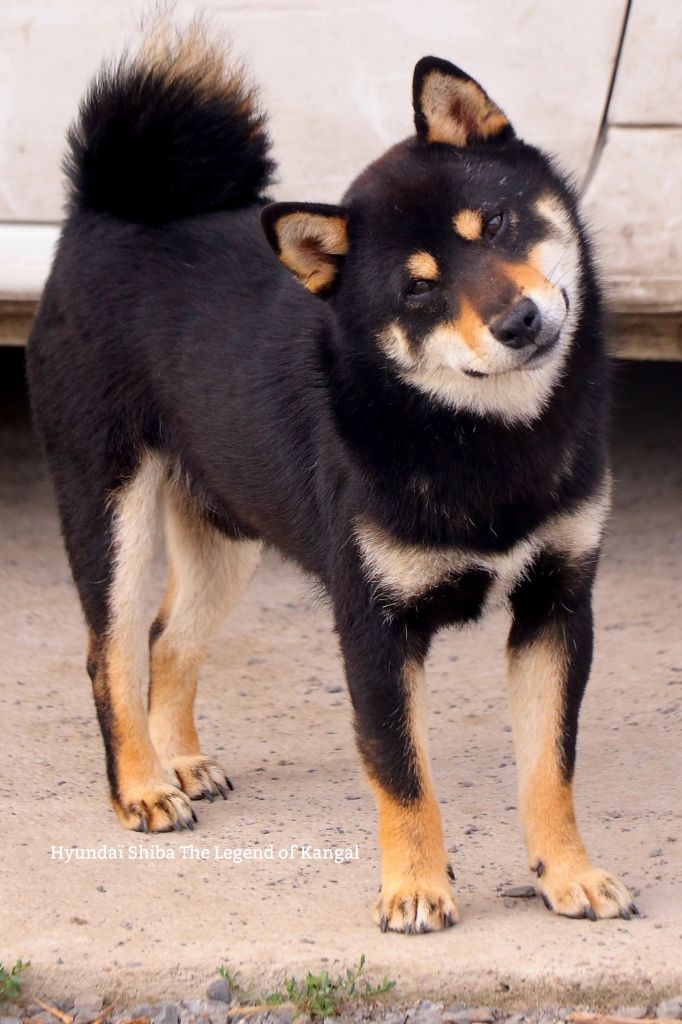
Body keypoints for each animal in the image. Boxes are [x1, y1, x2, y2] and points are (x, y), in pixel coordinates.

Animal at [25, 24, 630, 933]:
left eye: (495, 223)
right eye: (418, 289)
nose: (520, 321)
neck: (481, 436)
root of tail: (103, 214)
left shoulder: (555, 608)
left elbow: (549, 768)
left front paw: (568, 873)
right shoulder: (373, 624)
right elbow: (403, 772)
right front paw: (415, 888)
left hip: (228, 532)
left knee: (169, 640)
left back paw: (181, 759)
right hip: (111, 513)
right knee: (113, 654)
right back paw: (141, 785)